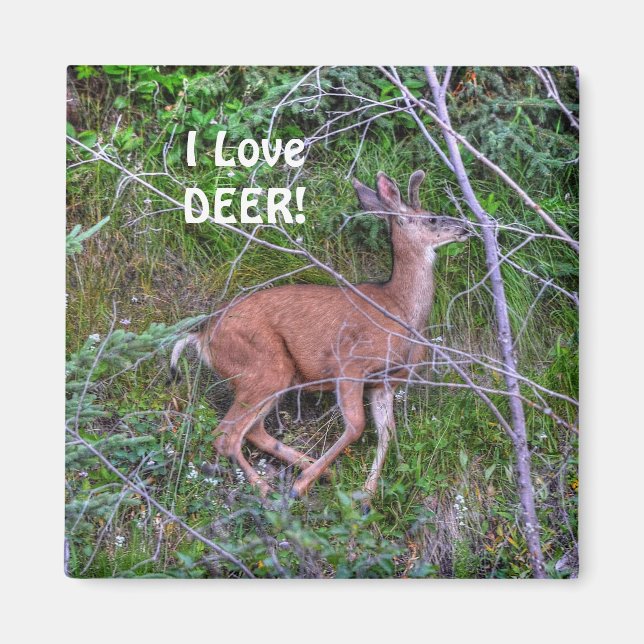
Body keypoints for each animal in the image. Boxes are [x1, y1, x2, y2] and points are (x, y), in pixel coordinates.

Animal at [170, 170, 470, 507]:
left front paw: (366, 496)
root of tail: (202, 336)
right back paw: (271, 489)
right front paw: (302, 486)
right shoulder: (350, 363)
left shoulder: (384, 381)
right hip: (263, 365)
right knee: (225, 434)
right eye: (431, 218)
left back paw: (316, 472)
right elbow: (357, 426)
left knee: (252, 430)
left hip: (270, 376)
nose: (465, 227)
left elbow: (387, 434)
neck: (400, 310)